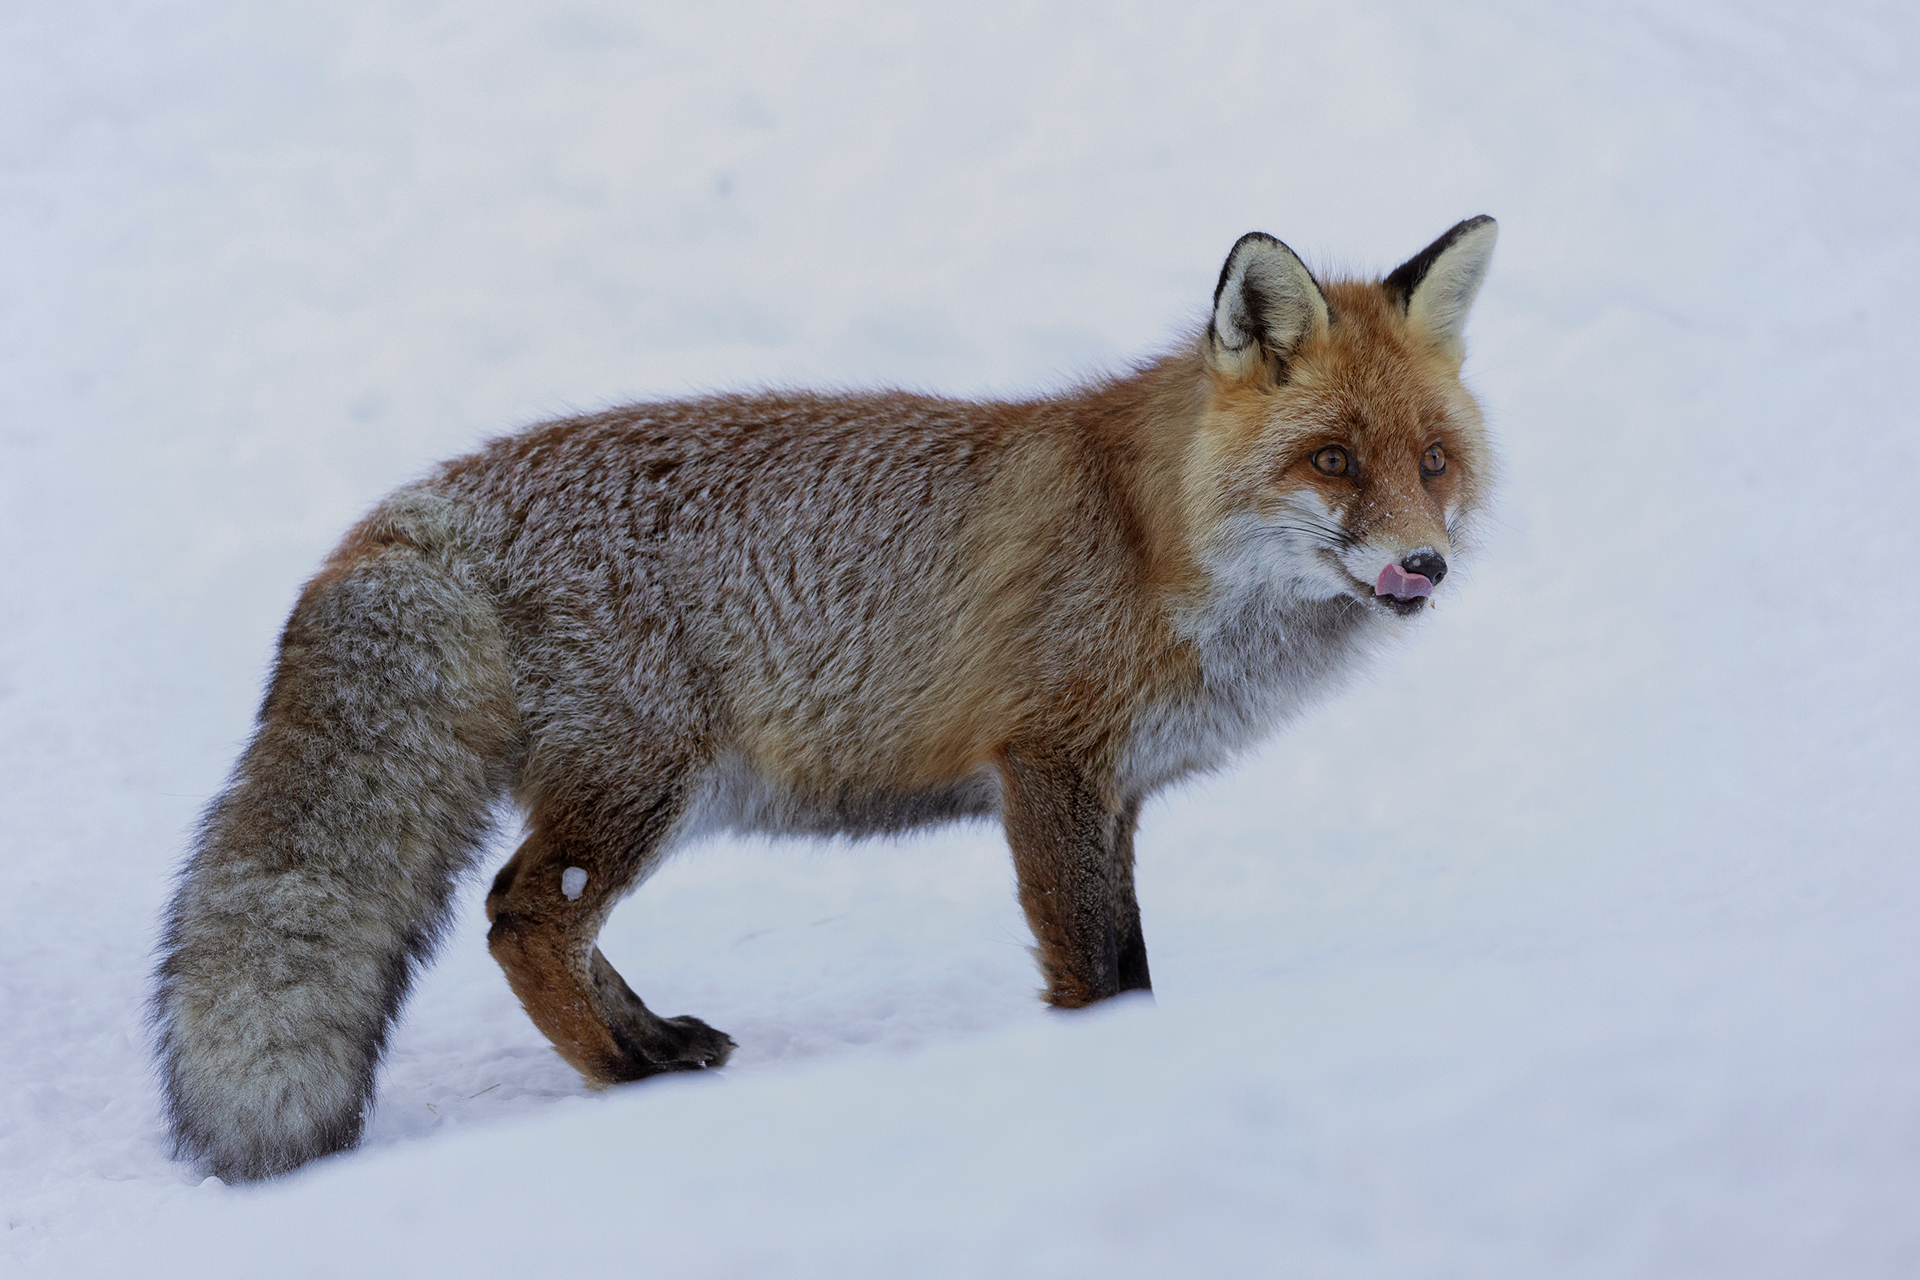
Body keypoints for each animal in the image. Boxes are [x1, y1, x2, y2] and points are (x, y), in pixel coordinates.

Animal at [152, 217, 1498, 1181]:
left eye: (1434, 461)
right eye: (1332, 460)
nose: (1424, 564)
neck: (1154, 540)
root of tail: (428, 501)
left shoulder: (1114, 790)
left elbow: (1129, 955)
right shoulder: (1049, 764)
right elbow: (1098, 967)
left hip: (658, 790)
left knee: (543, 920)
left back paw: (652, 1040)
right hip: (647, 780)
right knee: (521, 913)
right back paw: (624, 1076)